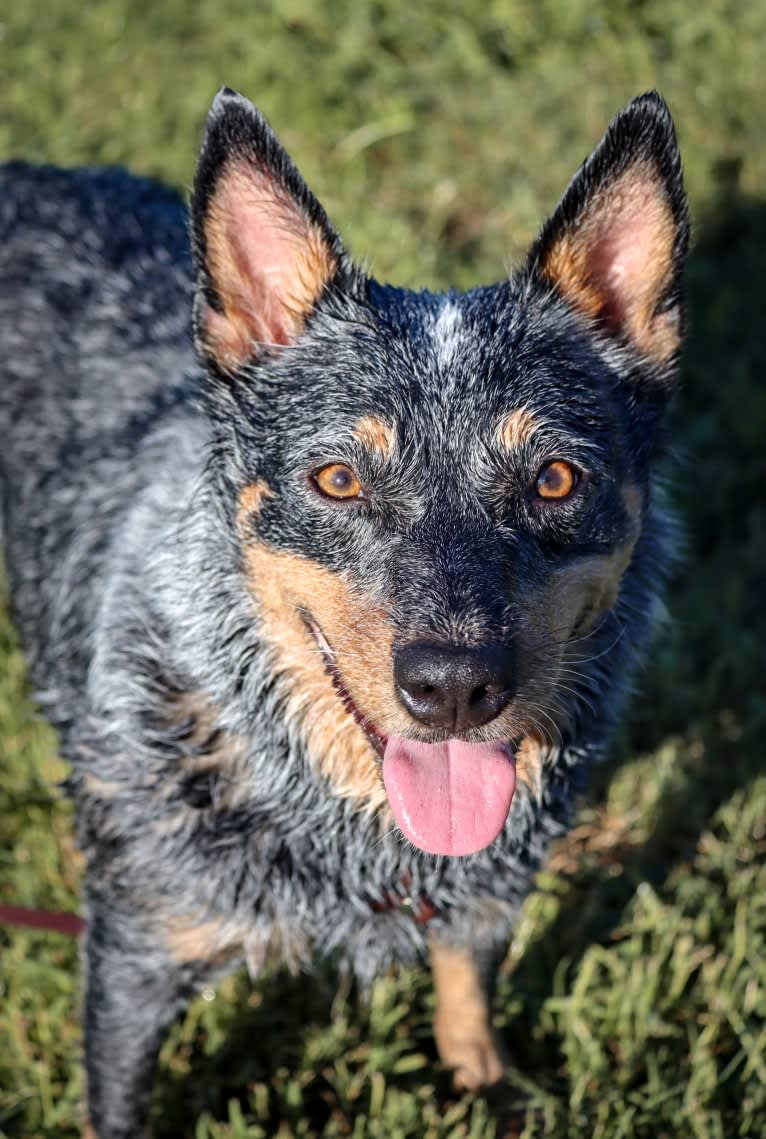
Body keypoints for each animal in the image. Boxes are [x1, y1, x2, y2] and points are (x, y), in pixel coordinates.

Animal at [0, 91, 687, 1139]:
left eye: (555, 478)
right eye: (337, 478)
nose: (455, 687)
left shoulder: (488, 892)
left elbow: (468, 995)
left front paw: (489, 1088)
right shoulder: (134, 950)